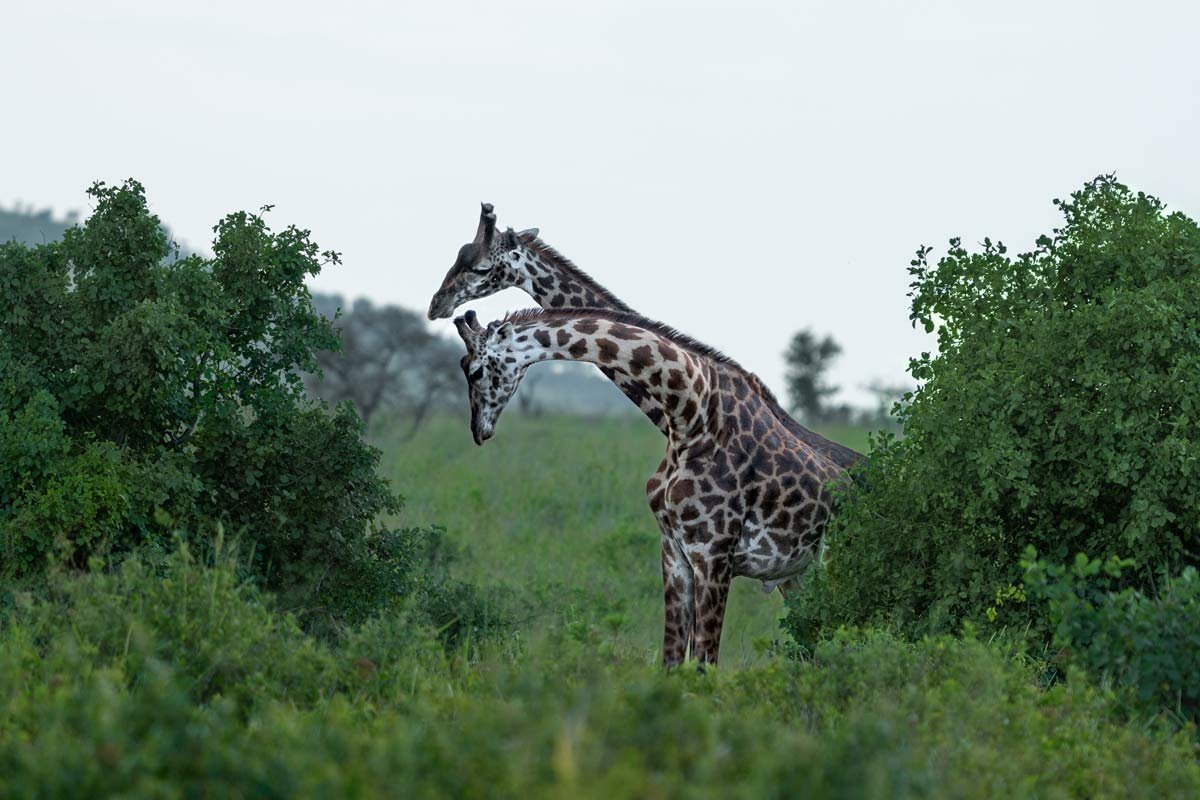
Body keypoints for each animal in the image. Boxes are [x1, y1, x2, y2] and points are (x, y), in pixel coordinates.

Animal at [453, 308, 843, 667]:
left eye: (475, 371)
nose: (478, 430)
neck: (690, 411)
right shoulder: (674, 550)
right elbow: (672, 660)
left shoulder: (714, 552)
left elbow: (705, 663)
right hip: (796, 578)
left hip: (827, 568)